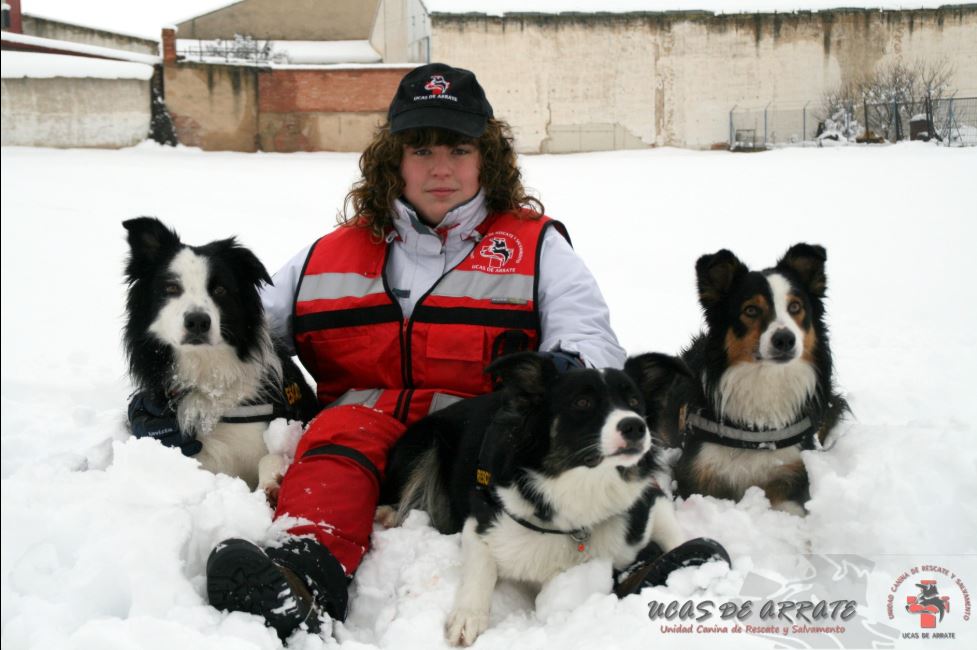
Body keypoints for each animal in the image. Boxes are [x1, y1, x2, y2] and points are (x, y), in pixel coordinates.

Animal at [120, 215, 314, 494]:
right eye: (171, 288)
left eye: (220, 290)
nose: (198, 322)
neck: (209, 376)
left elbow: (270, 456)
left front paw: (271, 484)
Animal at [386, 352, 728, 644]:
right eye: (583, 402)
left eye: (634, 400)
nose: (635, 426)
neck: (581, 490)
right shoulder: (482, 520)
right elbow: (481, 568)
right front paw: (467, 617)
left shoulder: (650, 501)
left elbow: (677, 538)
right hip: (425, 442)